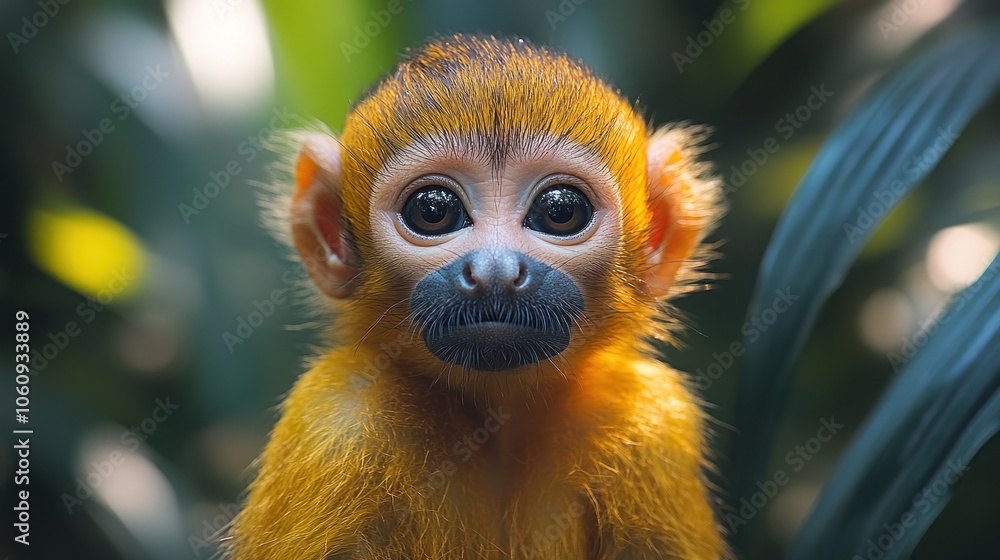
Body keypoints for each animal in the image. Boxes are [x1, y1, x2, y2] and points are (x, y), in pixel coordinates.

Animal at [228, 34, 727, 559]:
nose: (495, 272)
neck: (497, 420)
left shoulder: (648, 423)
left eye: (561, 211)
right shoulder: (336, 419)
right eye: (433, 211)